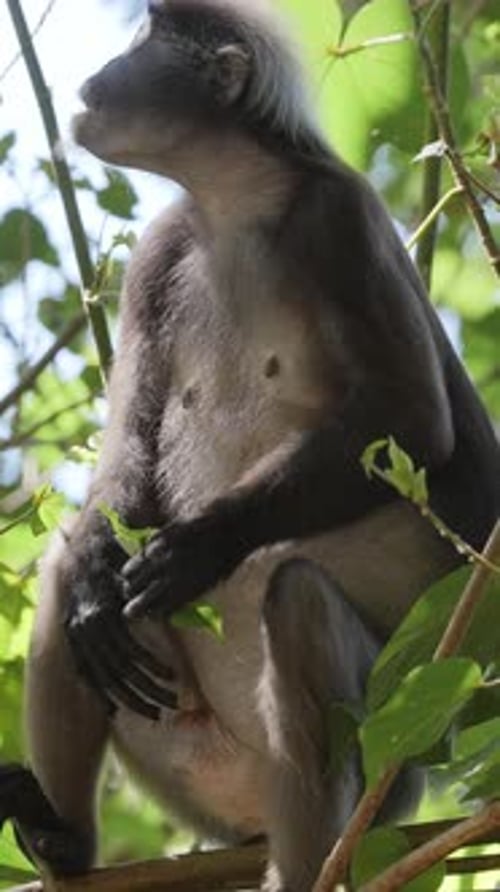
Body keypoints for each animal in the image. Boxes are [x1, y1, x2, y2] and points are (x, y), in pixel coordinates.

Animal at [1, 1, 499, 890]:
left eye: (146, 41)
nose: (100, 74)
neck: (235, 204)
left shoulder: (342, 216)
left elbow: (414, 421)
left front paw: (200, 546)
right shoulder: (159, 251)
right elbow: (126, 452)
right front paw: (99, 585)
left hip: (396, 754)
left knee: (297, 602)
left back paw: (313, 868)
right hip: (186, 758)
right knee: (67, 560)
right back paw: (63, 842)